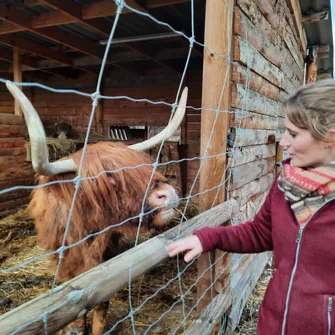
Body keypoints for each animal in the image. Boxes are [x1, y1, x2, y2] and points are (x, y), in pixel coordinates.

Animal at [5, 82, 189, 335]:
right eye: (109, 178)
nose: (167, 194)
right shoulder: (63, 259)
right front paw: (75, 327)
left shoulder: (107, 255)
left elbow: (101, 301)